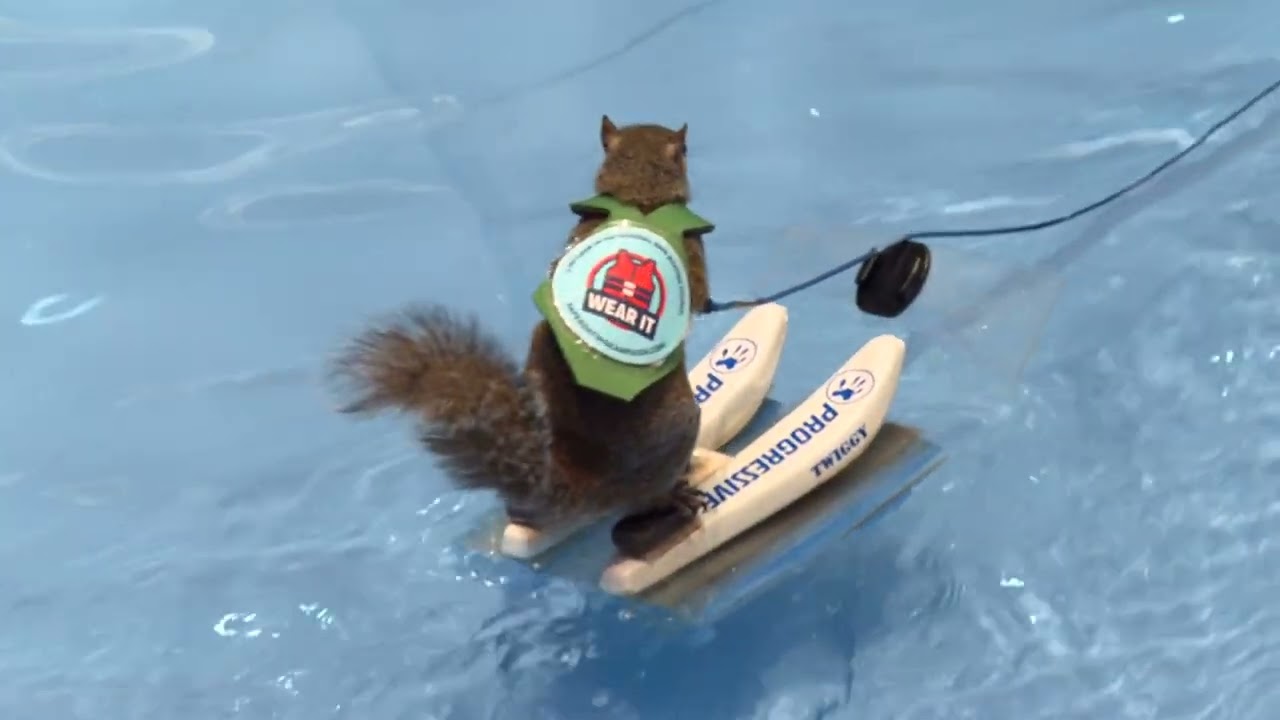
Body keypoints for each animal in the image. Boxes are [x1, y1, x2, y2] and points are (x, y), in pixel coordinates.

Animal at [330, 116, 714, 558]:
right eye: (684, 150)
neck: (636, 196)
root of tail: (585, 488)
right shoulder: (692, 255)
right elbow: (699, 294)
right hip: (682, 426)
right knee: (641, 509)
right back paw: (675, 500)